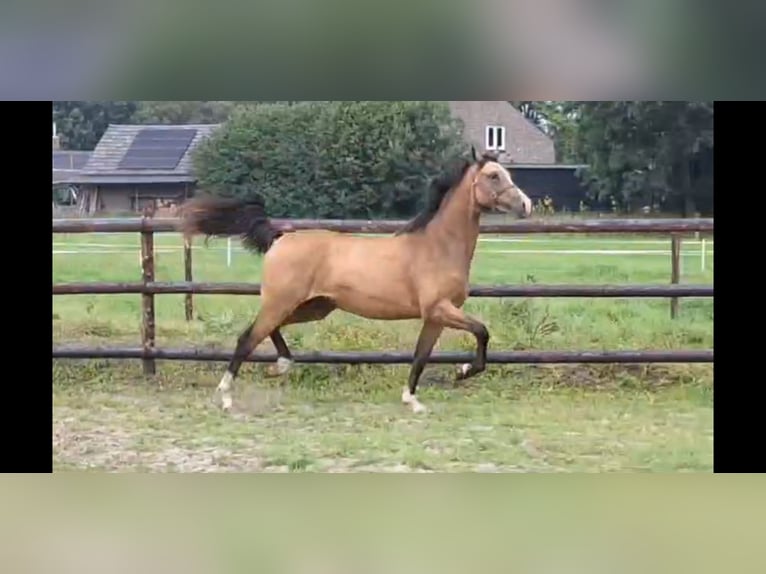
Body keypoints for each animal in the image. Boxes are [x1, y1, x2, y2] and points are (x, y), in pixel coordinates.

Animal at [178, 151, 536, 416]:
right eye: (493, 176)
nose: (527, 205)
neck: (438, 246)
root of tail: (280, 237)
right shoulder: (440, 308)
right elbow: (482, 332)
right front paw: (462, 371)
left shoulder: (435, 317)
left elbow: (421, 355)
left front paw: (412, 400)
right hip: (283, 301)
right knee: (247, 338)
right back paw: (226, 397)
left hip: (313, 307)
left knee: (267, 331)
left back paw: (281, 366)